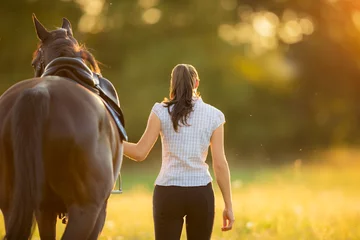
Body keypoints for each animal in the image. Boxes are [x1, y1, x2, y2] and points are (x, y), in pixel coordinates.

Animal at [0, 15, 125, 240]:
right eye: (34, 62)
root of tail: (39, 92)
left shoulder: (44, 210)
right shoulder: (99, 211)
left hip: (12, 204)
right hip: (85, 210)